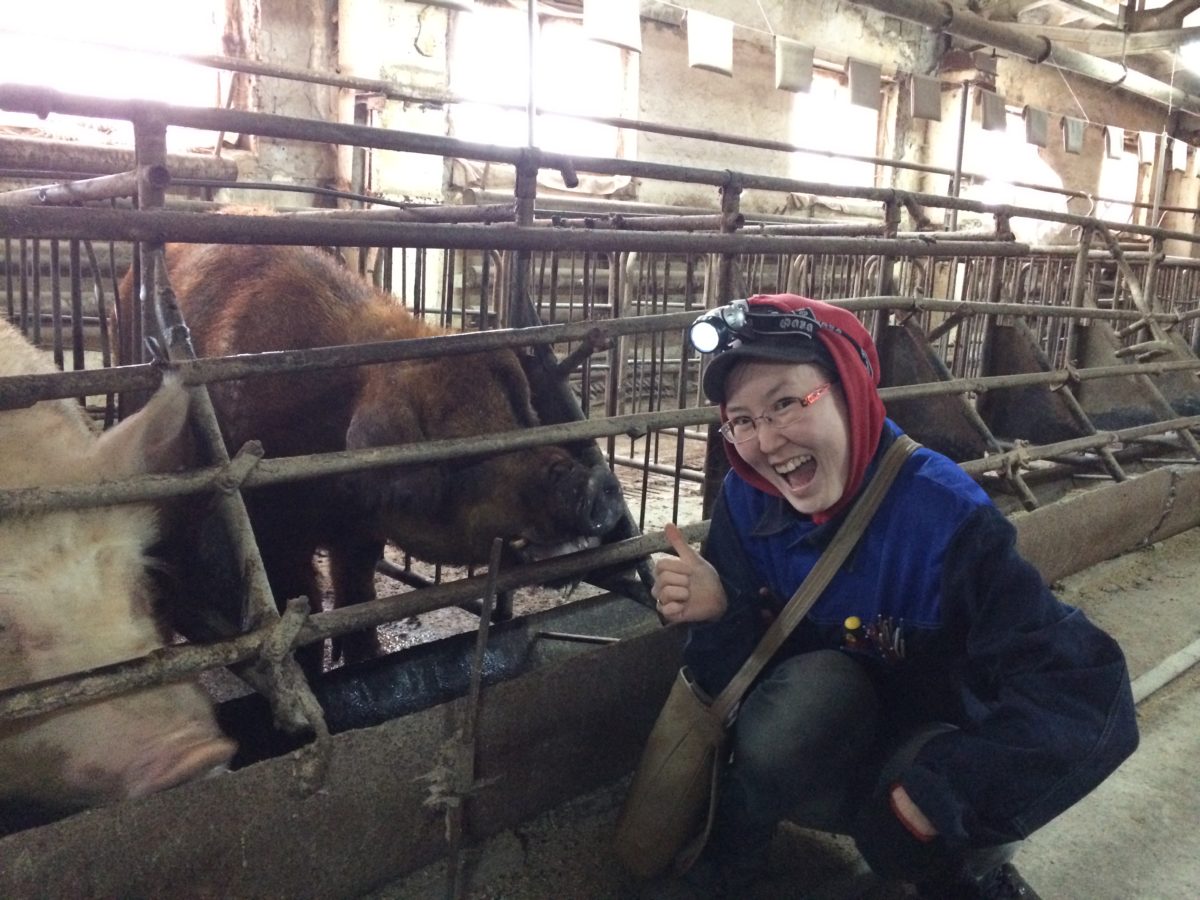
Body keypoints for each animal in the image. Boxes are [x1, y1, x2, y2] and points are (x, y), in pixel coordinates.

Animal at [117, 243, 626, 668]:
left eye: (517, 416)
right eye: (458, 455)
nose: (595, 483)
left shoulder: (361, 529)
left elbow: (357, 590)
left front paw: (366, 659)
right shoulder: (271, 527)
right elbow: (300, 595)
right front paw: (316, 671)